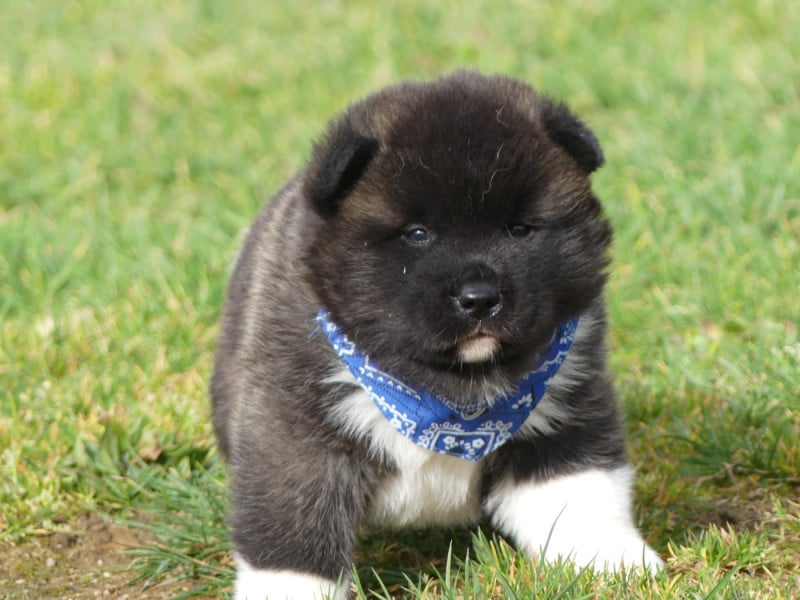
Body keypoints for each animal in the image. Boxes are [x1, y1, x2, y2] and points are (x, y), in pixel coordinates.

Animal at [210, 70, 663, 599]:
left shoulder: (567, 401)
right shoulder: (294, 432)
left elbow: (580, 492)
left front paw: (613, 563)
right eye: (418, 234)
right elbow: (292, 531)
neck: (445, 392)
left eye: (520, 229)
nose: (480, 298)